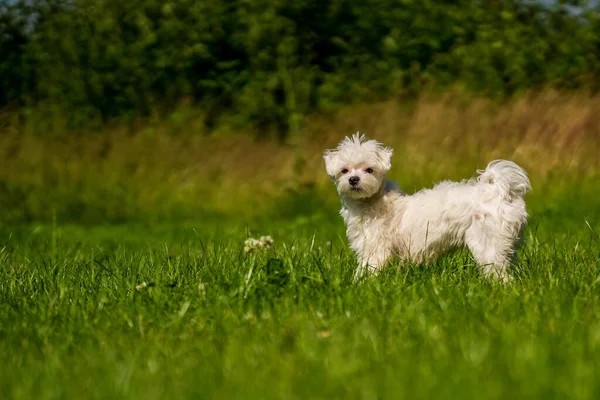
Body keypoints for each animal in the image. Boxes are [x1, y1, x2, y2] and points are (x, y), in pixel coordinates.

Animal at [326, 133, 532, 280]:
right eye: (344, 170)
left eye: (369, 170)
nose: (353, 179)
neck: (372, 201)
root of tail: (501, 190)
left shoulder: (375, 249)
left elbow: (366, 270)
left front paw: (358, 285)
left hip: (487, 242)